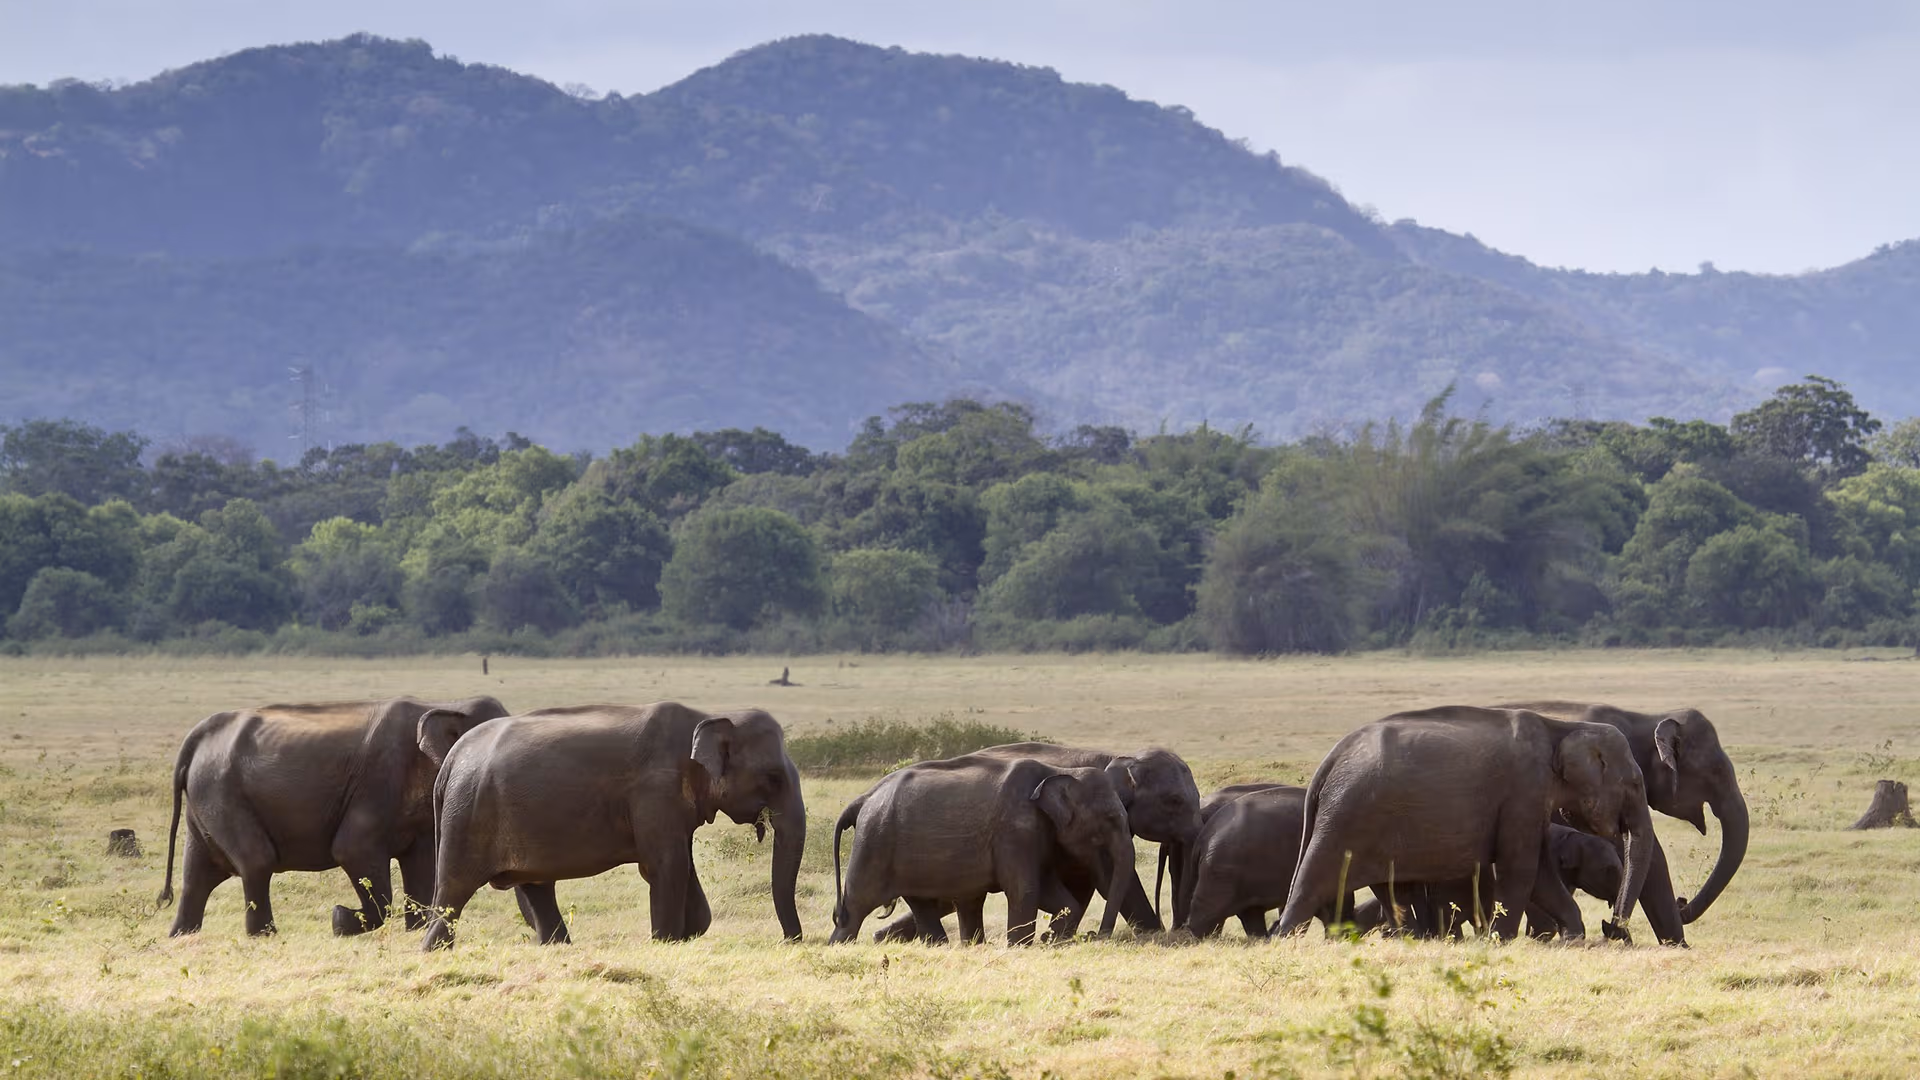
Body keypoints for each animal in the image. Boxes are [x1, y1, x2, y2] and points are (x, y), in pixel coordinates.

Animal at [157, 695, 512, 937]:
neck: (447, 704)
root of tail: (198, 735)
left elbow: (421, 866)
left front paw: (414, 929)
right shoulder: (379, 783)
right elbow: (351, 850)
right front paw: (340, 919)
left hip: (206, 800)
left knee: (197, 874)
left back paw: (181, 935)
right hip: (222, 793)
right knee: (256, 861)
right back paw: (264, 935)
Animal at [418, 702, 804, 950]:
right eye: (773, 777)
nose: (791, 941)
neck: (707, 716)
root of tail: (452, 758)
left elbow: (679, 864)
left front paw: (686, 933)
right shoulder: (655, 792)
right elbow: (666, 865)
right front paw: (665, 942)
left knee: (535, 886)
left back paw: (558, 947)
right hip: (467, 816)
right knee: (454, 890)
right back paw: (433, 950)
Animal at [830, 756, 1137, 946]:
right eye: (1110, 819)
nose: (1094, 935)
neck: (1058, 772)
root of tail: (864, 797)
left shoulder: (1038, 837)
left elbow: (1055, 894)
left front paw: (1050, 940)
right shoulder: (1015, 831)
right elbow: (1025, 890)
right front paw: (1021, 946)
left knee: (923, 903)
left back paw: (944, 946)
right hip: (873, 841)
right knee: (856, 905)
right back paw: (839, 945)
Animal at [870, 741, 1200, 942]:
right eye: (1174, 801)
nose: (1094, 935)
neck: (1116, 756)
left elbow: (1086, 884)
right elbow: (1110, 879)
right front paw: (1151, 934)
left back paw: (884, 936)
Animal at [1274, 705, 1655, 943]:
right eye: (1636, 783)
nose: (1612, 930)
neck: (1562, 726)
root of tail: (1329, 761)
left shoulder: (1530, 802)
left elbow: (1541, 870)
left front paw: (1573, 938)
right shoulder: (1523, 791)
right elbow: (1521, 868)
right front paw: (1499, 941)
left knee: (1388, 888)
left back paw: (1409, 938)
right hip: (1346, 815)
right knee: (1313, 878)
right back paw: (1283, 938)